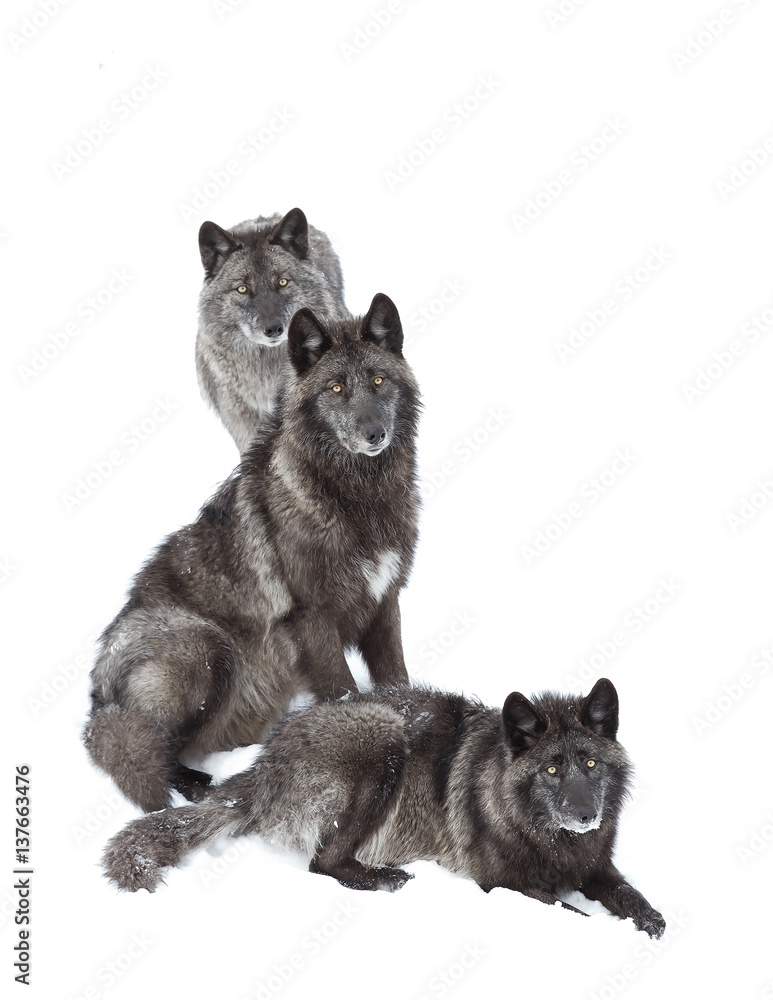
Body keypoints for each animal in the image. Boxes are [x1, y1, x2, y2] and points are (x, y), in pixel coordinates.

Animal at [84, 293, 421, 813]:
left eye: (378, 381)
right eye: (336, 388)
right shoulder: (312, 620)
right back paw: (200, 786)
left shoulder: (385, 603)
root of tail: (98, 692)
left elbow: (397, 680)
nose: (374, 434)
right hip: (207, 649)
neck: (358, 498)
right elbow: (344, 691)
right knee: (148, 749)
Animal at [101, 678, 665, 938]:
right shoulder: (501, 884)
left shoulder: (595, 865)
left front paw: (650, 921)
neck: (547, 837)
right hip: (383, 739)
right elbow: (574, 913)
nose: (586, 815)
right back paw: (387, 878)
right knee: (323, 863)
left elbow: (633, 897)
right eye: (551, 770)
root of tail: (264, 763)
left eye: (589, 763)